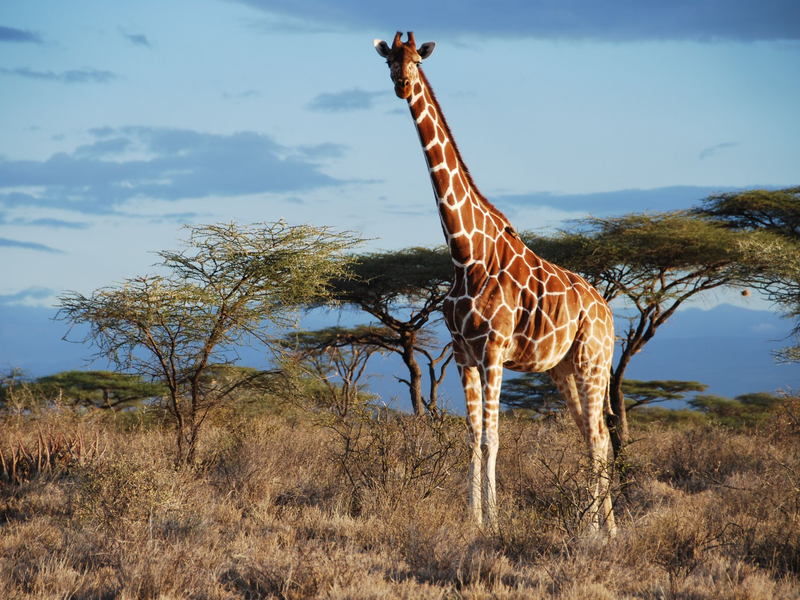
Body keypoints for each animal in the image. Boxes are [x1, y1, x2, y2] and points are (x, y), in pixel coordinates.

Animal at [374, 32, 616, 534]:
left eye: (416, 61)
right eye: (389, 61)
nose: (402, 85)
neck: (465, 253)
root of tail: (609, 312)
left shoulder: (493, 351)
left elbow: (493, 438)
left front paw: (496, 524)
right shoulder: (463, 354)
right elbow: (472, 437)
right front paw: (474, 520)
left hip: (593, 361)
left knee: (599, 438)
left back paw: (600, 530)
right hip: (564, 369)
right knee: (593, 436)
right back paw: (600, 529)